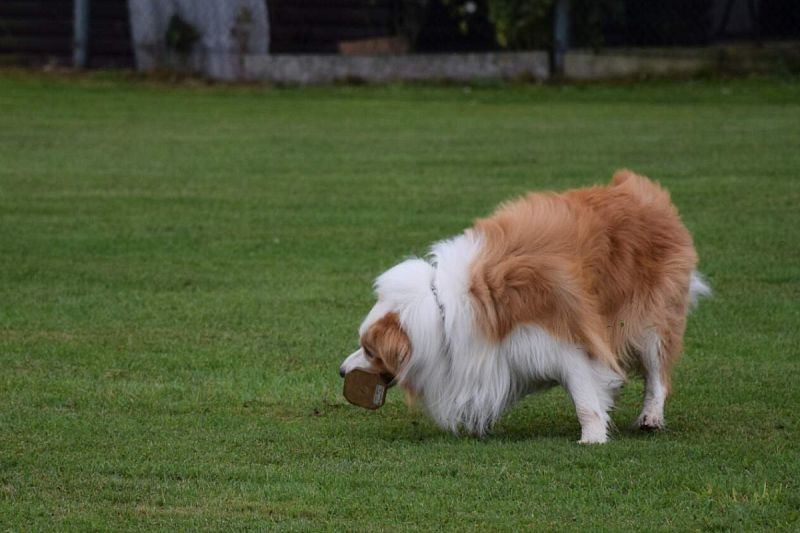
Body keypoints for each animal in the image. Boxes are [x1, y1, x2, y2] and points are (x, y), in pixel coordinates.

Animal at [338, 169, 708, 440]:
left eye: (369, 350)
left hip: (650, 320)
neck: (442, 309)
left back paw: (650, 417)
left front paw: (592, 437)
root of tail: (644, 191)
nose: (341, 370)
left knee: (657, 376)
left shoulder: (567, 338)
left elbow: (583, 394)